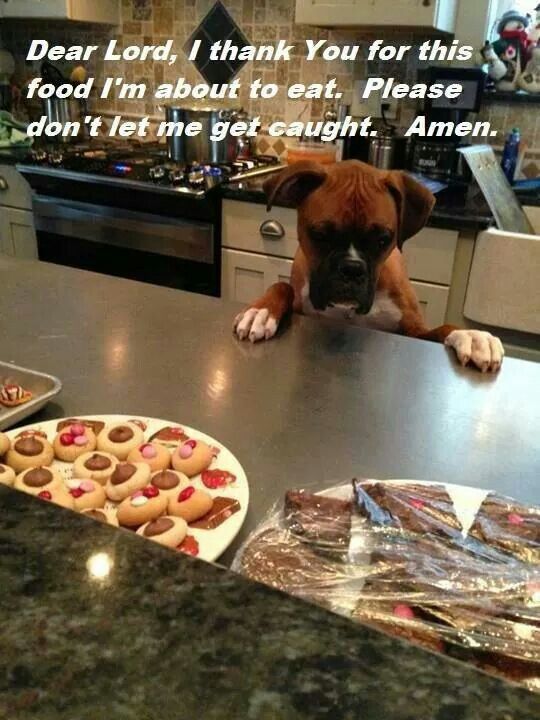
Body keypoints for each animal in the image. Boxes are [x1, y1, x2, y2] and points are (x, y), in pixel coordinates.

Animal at [234, 158, 504, 372]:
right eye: (320, 235)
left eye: (383, 240)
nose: (351, 269)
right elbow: (281, 287)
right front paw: (260, 311)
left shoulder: (415, 331)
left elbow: (442, 328)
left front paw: (472, 336)